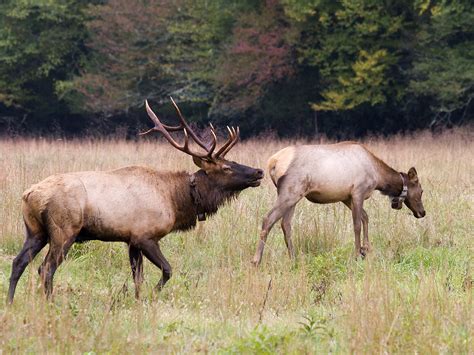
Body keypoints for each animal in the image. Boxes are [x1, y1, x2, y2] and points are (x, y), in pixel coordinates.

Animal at [6, 97, 262, 304]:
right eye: (227, 167)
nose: (258, 171)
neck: (176, 201)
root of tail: (29, 195)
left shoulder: (130, 241)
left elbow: (137, 277)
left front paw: (137, 300)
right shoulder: (144, 236)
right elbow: (167, 270)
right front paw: (151, 296)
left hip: (35, 230)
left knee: (19, 262)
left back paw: (10, 302)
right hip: (64, 230)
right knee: (45, 268)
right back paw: (49, 303)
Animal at [252, 142, 426, 268]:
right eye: (421, 190)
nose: (422, 212)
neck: (379, 178)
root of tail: (272, 163)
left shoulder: (346, 197)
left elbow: (365, 217)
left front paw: (366, 249)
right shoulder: (358, 191)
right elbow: (357, 224)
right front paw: (357, 254)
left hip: (294, 195)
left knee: (285, 224)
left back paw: (293, 258)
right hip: (291, 191)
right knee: (268, 218)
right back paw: (256, 260)